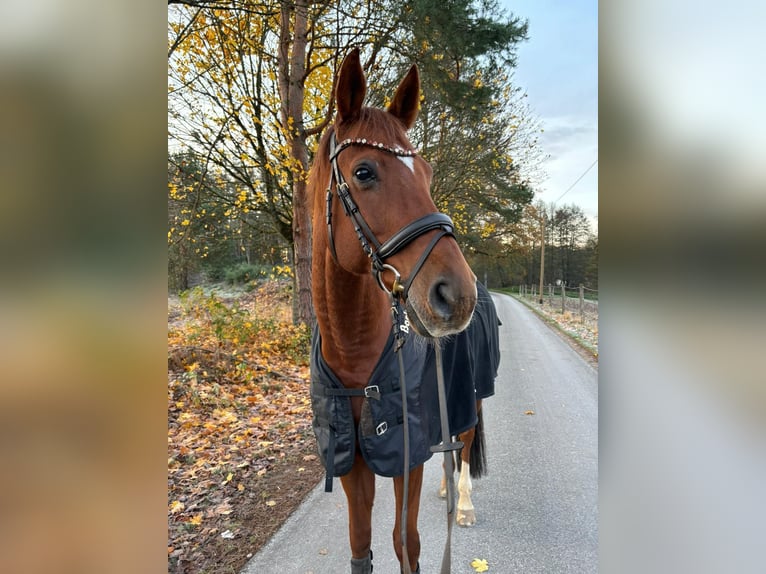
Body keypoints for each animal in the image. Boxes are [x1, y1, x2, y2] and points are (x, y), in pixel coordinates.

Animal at [308, 50, 500, 574]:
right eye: (364, 172)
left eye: (428, 174)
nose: (456, 294)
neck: (356, 353)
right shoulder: (353, 461)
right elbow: (361, 546)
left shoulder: (405, 459)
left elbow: (406, 544)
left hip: (473, 396)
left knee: (465, 444)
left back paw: (464, 503)